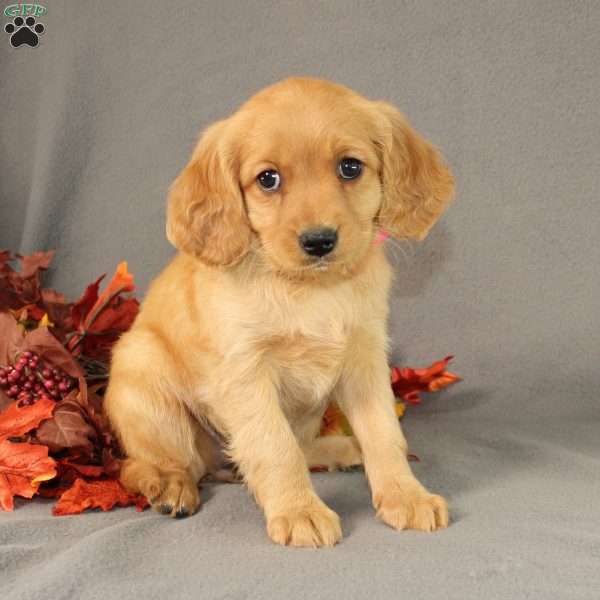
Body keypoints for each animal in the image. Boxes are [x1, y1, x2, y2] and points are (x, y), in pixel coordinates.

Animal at [106, 76, 454, 548]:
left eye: (350, 168)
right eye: (267, 179)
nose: (319, 240)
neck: (311, 291)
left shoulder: (365, 359)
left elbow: (384, 433)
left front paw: (405, 495)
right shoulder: (246, 373)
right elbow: (275, 447)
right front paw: (299, 511)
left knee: (303, 446)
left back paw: (340, 450)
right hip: (143, 372)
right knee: (141, 465)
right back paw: (170, 484)